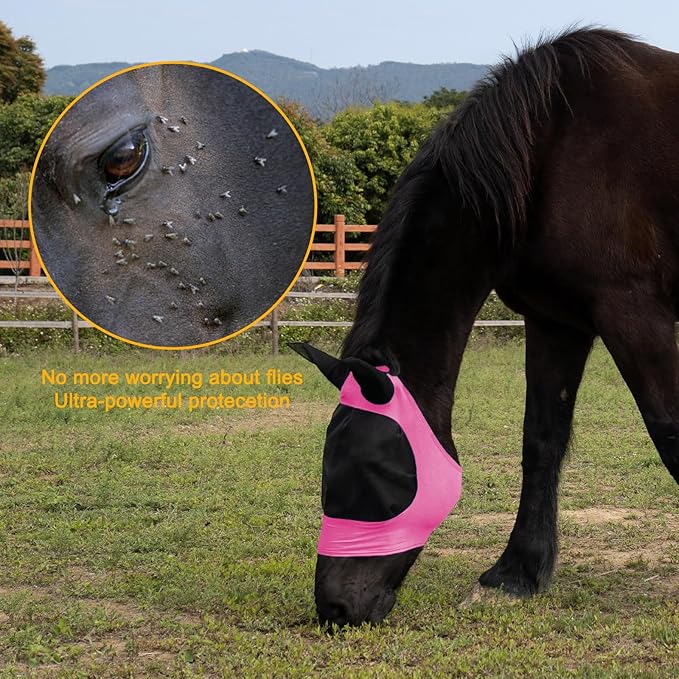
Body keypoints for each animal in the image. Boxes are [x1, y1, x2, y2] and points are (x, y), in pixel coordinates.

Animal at [294, 28, 679, 628]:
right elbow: (541, 439)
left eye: (383, 473)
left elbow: (670, 432)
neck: (552, 148)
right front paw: (517, 572)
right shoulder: (555, 321)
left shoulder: (635, 314)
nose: (335, 607)